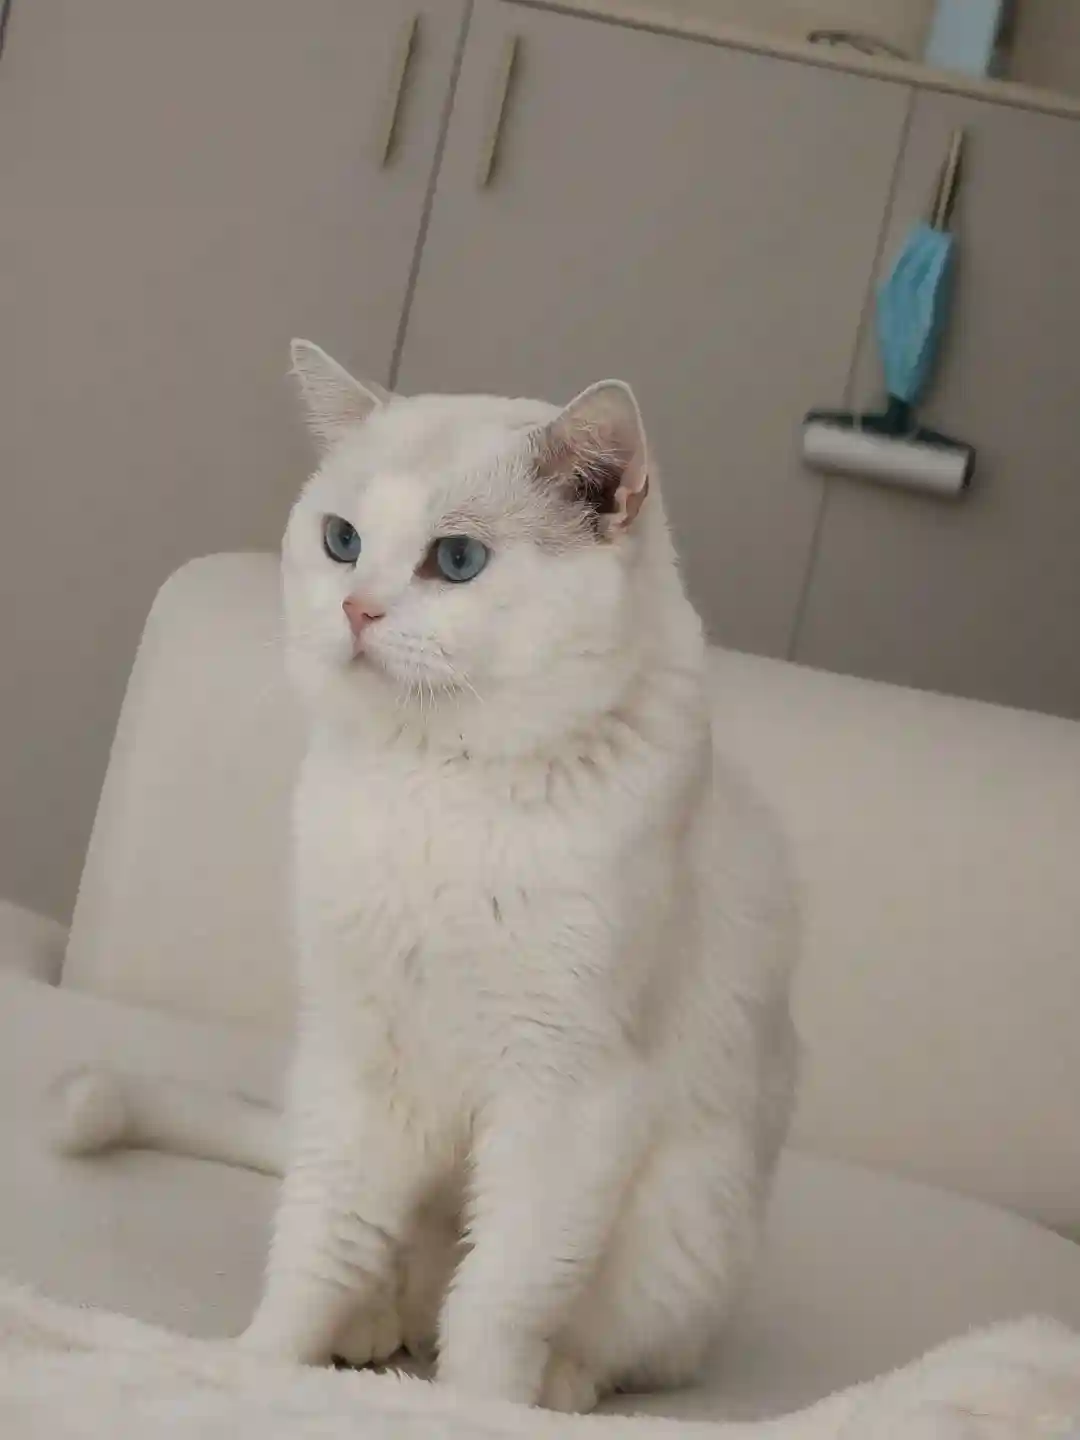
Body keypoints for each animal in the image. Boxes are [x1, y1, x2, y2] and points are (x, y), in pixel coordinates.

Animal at [54, 341, 799, 1414]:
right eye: (341, 540)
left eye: (456, 561)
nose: (356, 608)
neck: (435, 789)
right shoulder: (363, 1063)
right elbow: (318, 1249)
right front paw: (252, 1370)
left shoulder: (564, 1097)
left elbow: (498, 1300)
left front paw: (474, 1409)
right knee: (389, 1279)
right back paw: (368, 1334)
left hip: (686, 1233)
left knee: (604, 1341)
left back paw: (557, 1386)